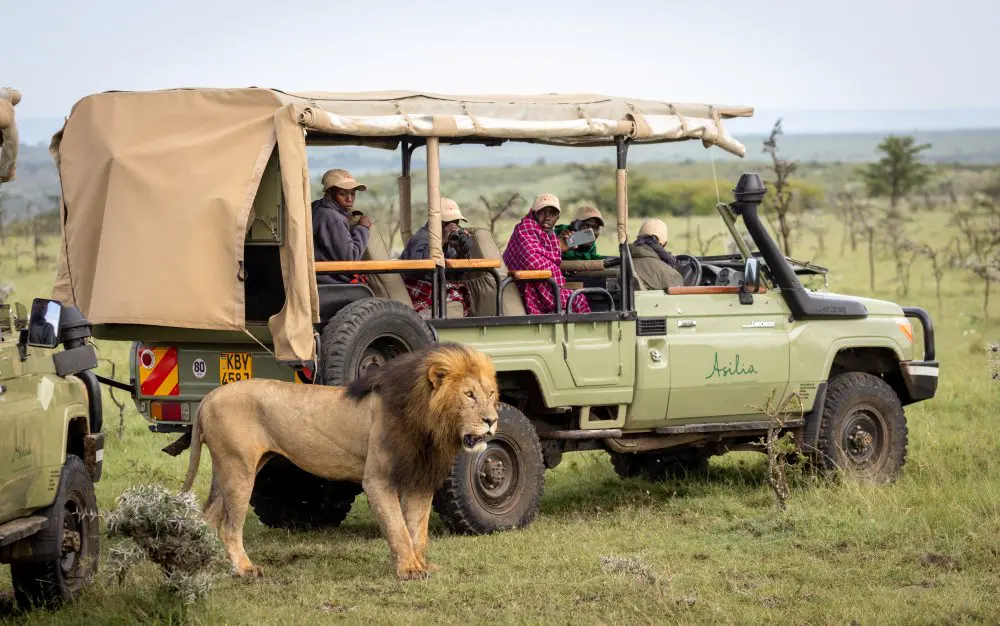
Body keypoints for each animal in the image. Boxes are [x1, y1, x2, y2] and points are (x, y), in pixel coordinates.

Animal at [172, 342, 499, 580]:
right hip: (239, 468)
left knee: (207, 518)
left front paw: (421, 565)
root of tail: (210, 396)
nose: (492, 420)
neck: (428, 423)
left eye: (491, 393)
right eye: (469, 395)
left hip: (228, 468)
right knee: (229, 527)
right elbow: (398, 529)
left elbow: (417, 530)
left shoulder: (418, 478)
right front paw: (409, 570)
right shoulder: (377, 479)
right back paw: (244, 569)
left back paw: (198, 565)